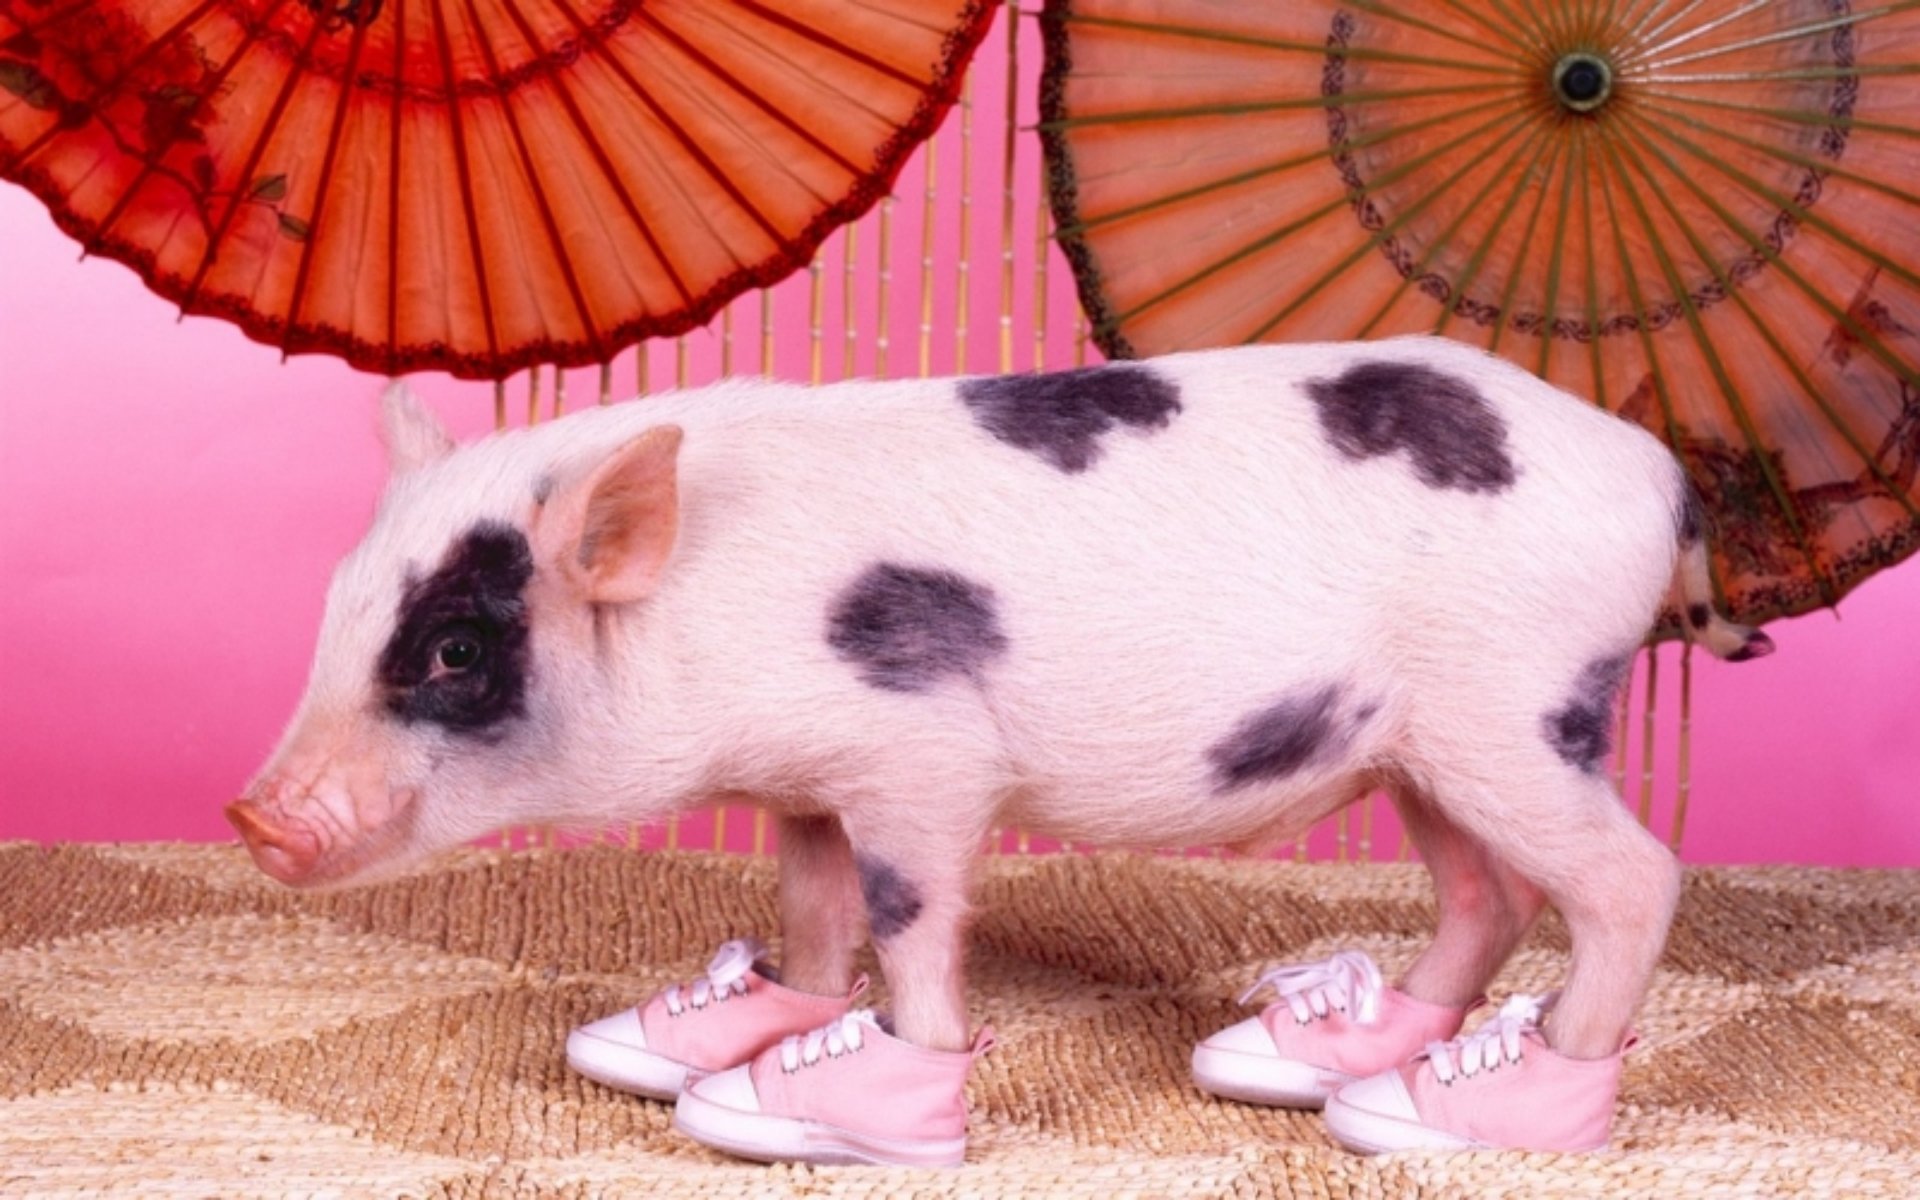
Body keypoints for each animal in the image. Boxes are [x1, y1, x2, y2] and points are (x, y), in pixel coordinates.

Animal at [230, 336, 1770, 1154]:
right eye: (339, 606)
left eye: (452, 653)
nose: (253, 816)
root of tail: (1656, 469)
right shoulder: (809, 778)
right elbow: (813, 903)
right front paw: (707, 1038)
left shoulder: (919, 754)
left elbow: (912, 918)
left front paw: (839, 1099)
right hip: (1424, 744)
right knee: (1487, 892)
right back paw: (1327, 1065)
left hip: (1517, 710)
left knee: (1632, 879)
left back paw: (1494, 1104)